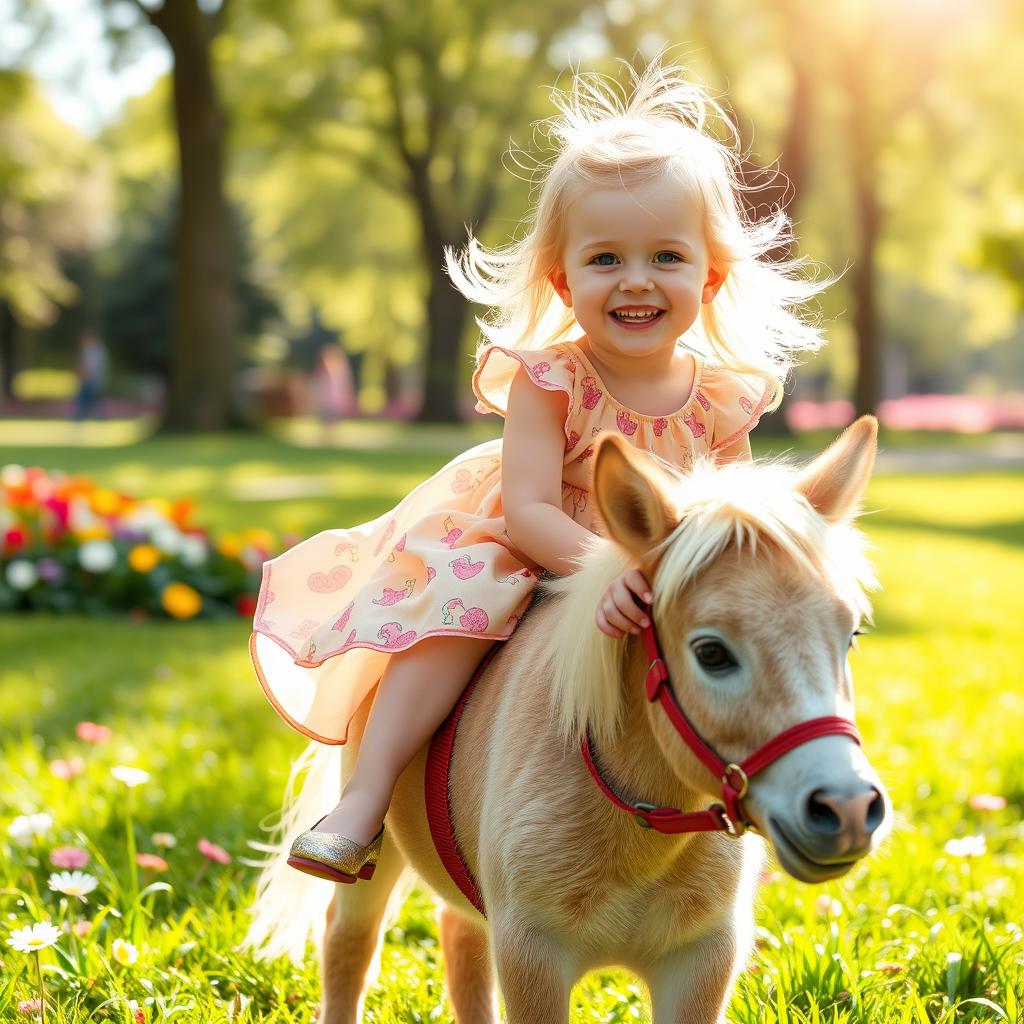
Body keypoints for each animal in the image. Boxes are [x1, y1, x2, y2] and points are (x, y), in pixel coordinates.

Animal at [245, 415, 888, 1024]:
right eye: (711, 652)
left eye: (851, 636)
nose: (847, 808)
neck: (637, 830)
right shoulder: (532, 952)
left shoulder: (703, 957)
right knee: (349, 938)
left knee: (459, 933)